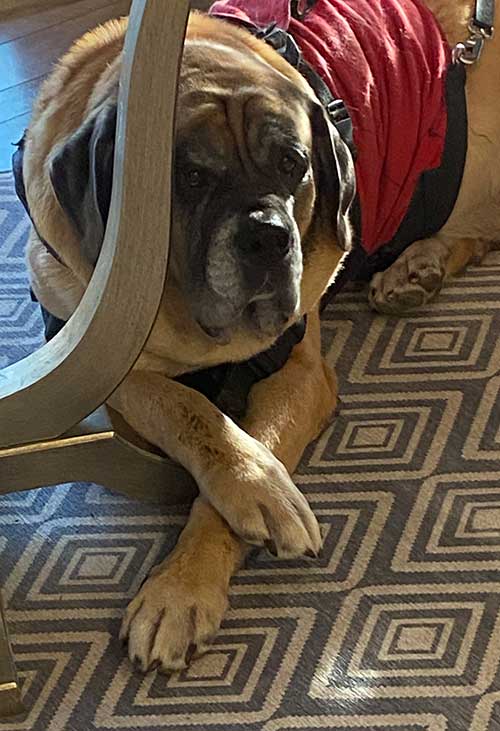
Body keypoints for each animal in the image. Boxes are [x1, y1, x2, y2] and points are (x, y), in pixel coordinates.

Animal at [22, 1, 500, 676]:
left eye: (293, 164)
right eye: (190, 176)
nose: (268, 236)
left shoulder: (294, 371)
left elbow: (242, 447)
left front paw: (182, 587)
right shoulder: (90, 353)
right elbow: (184, 406)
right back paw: (418, 269)